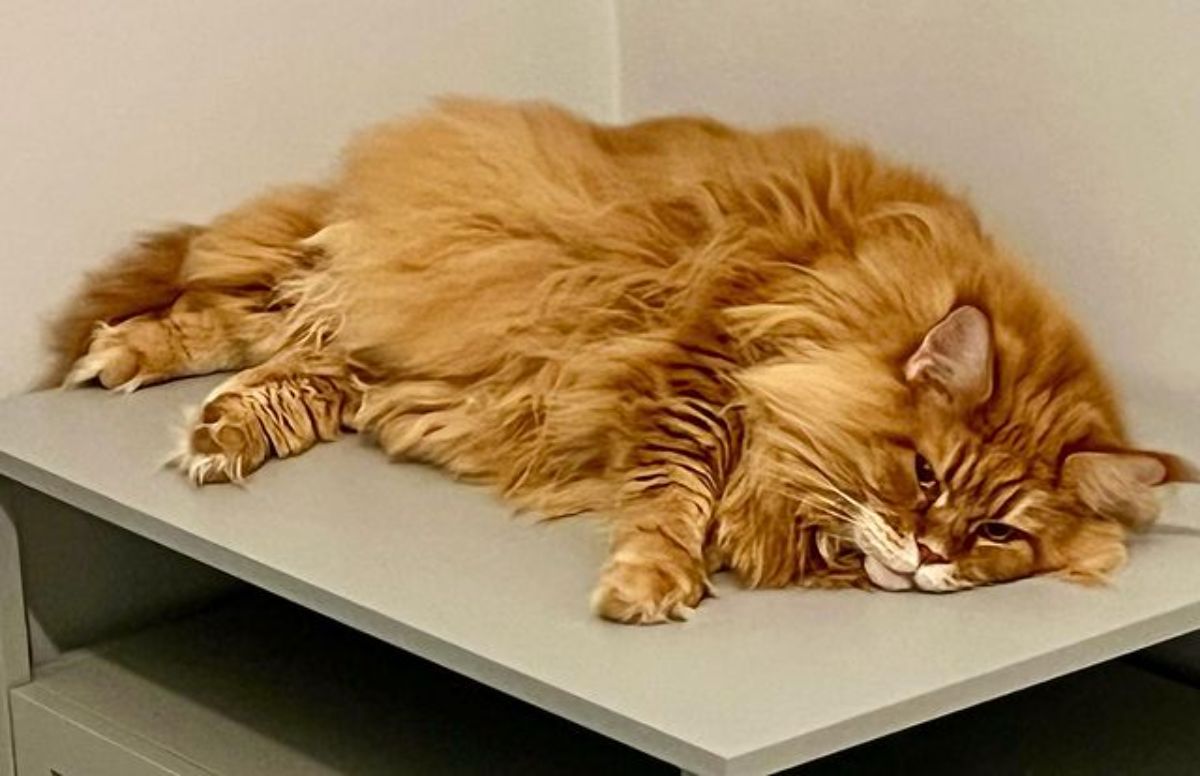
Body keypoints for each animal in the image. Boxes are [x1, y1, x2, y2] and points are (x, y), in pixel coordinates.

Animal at [44, 97, 1190, 623]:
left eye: (997, 531)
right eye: (921, 474)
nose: (926, 554)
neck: (837, 291)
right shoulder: (699, 363)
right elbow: (675, 487)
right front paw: (653, 575)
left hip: (412, 362)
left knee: (302, 370)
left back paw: (218, 429)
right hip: (392, 277)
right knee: (236, 311)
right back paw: (128, 360)